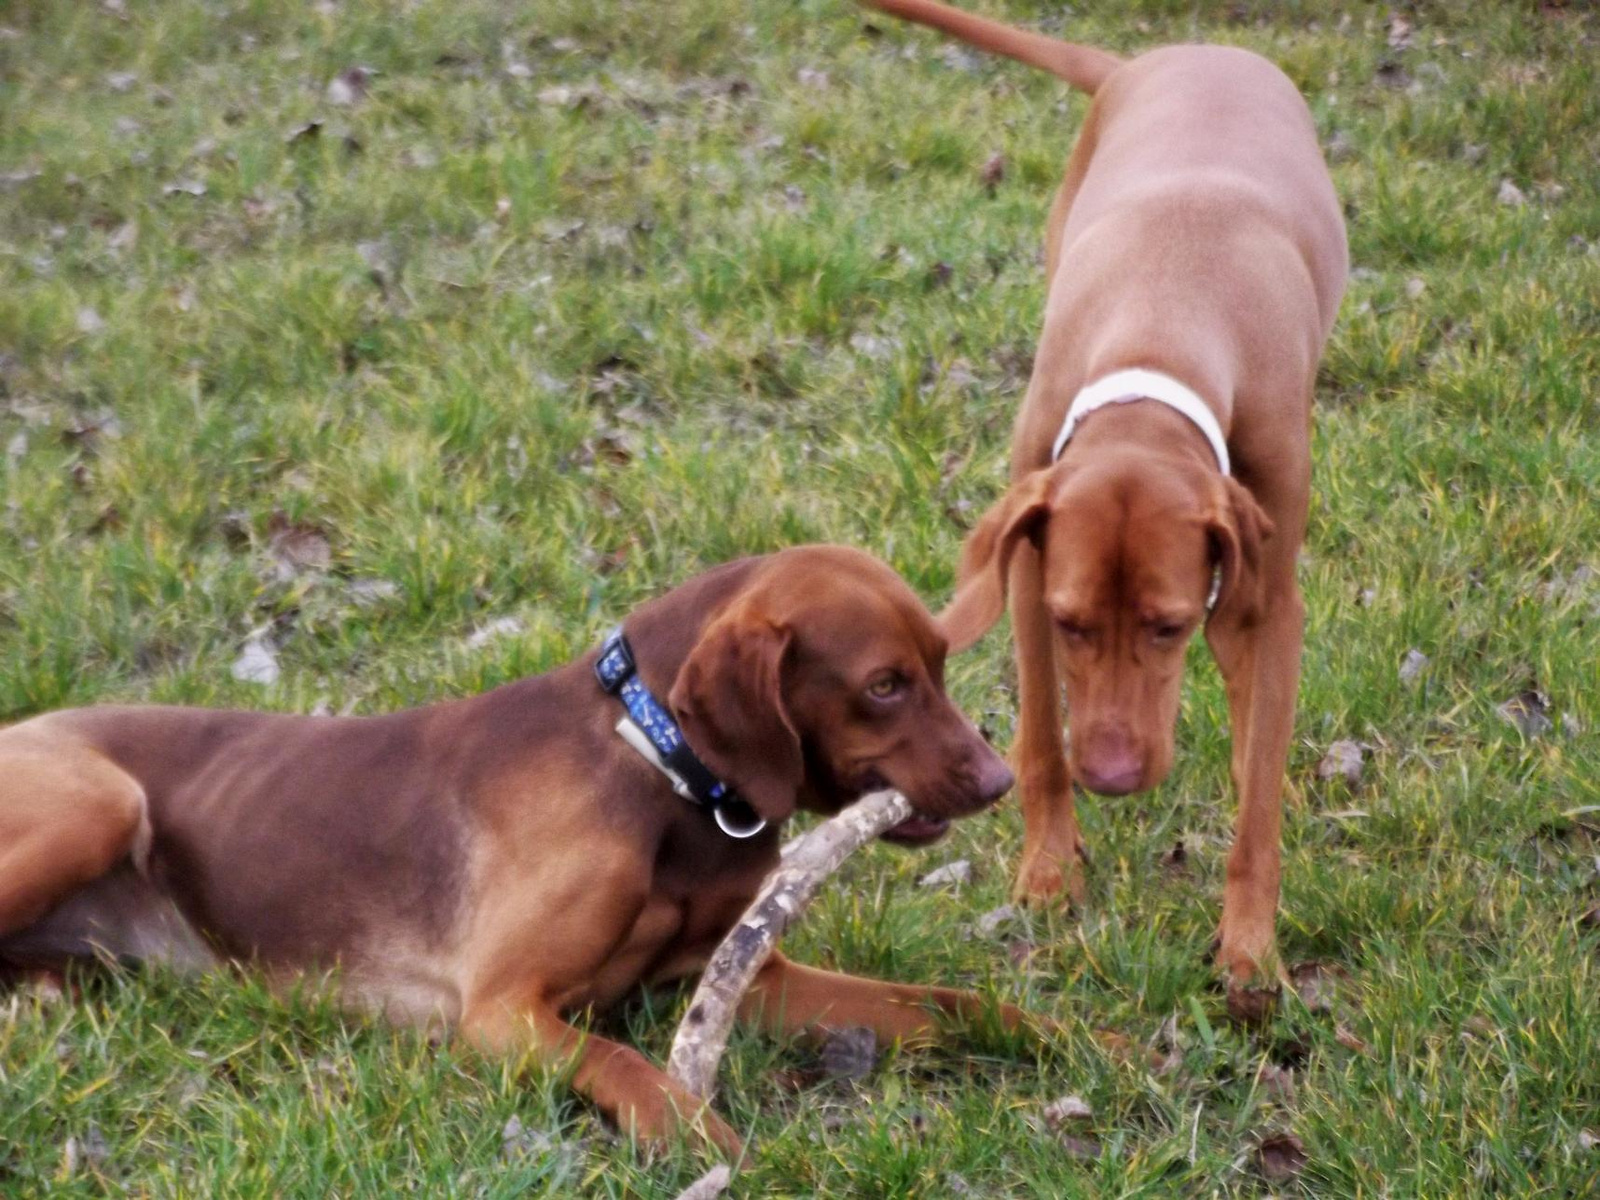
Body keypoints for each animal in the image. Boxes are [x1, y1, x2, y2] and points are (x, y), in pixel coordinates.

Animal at [3, 547, 1024, 1158]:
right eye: (884, 685)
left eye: (941, 661)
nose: (1002, 778)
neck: (657, 767)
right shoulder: (499, 1011)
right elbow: (627, 1065)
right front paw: (702, 1138)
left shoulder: (743, 978)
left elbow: (946, 1004)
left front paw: (1047, 1036)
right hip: (97, 803)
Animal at [870, 0, 1344, 1017]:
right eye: (1072, 624)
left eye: (1168, 627)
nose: (1117, 779)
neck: (1166, 310)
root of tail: (1160, 57)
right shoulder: (1027, 568)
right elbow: (1041, 737)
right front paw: (1050, 874)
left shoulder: (1266, 595)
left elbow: (1258, 799)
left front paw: (1251, 950)